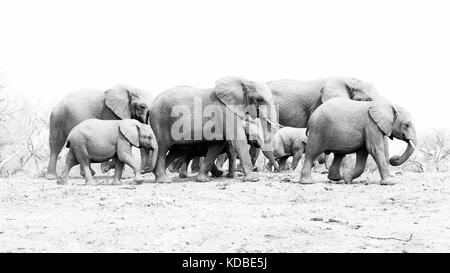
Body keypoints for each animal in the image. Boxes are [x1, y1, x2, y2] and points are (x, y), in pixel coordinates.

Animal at [149, 76, 280, 183]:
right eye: (260, 99)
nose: (278, 170)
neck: (244, 81)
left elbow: (217, 145)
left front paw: (203, 180)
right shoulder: (226, 111)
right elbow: (238, 140)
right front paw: (253, 179)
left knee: (176, 151)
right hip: (160, 120)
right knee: (162, 147)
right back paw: (164, 180)